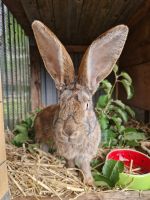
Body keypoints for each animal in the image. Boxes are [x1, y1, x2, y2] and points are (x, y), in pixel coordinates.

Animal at [32, 21, 128, 185]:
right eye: (61, 102)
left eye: (87, 105)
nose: (69, 131)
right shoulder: (68, 153)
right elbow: (71, 162)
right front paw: (70, 172)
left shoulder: (85, 155)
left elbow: (85, 166)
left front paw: (89, 182)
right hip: (40, 136)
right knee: (43, 146)